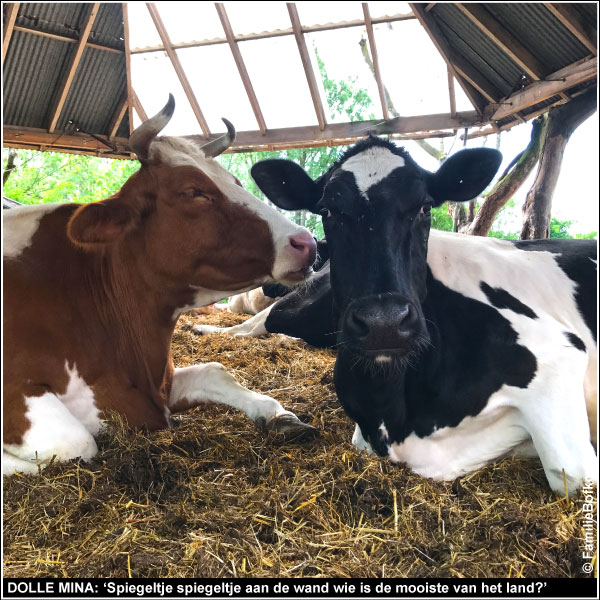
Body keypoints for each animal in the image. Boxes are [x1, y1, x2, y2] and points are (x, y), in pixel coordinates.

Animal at [2, 96, 318, 476]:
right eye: (193, 192)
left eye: (235, 181)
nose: (307, 242)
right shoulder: (16, 393)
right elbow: (77, 444)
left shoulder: (159, 387)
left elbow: (215, 372)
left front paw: (279, 416)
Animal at [195, 137, 596, 496]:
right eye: (328, 211)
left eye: (424, 207)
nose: (383, 323)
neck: (395, 413)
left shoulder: (558, 357)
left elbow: (571, 476)